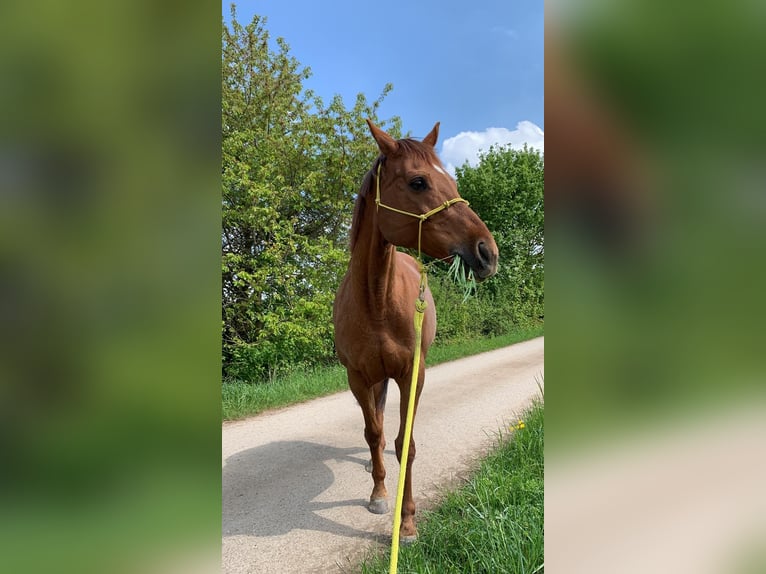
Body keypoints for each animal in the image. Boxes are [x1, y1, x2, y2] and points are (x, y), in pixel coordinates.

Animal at [332, 119, 500, 544]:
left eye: (452, 179)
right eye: (418, 182)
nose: (487, 252)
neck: (376, 301)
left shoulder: (413, 374)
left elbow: (404, 444)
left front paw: (406, 523)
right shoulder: (358, 378)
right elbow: (373, 433)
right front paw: (378, 494)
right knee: (374, 426)